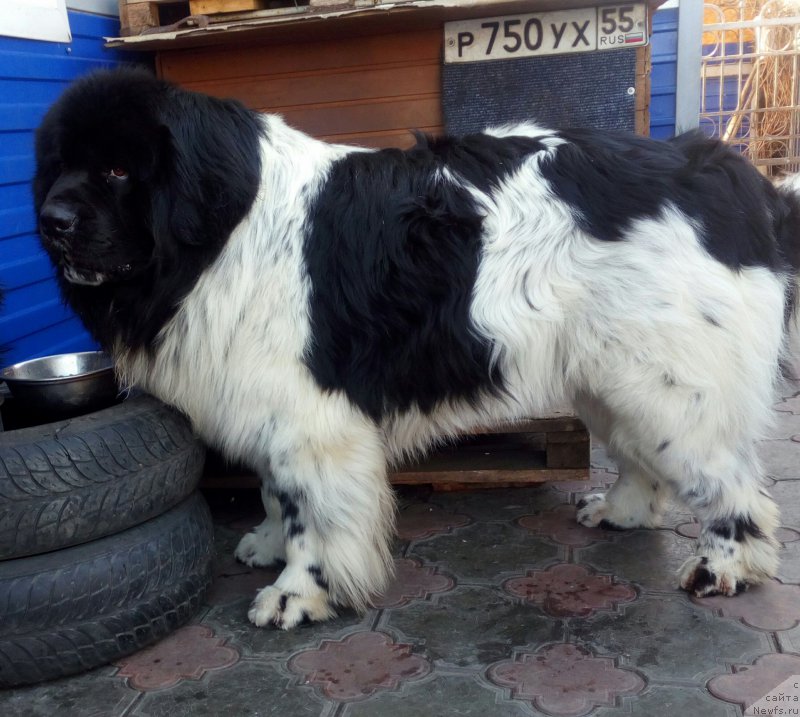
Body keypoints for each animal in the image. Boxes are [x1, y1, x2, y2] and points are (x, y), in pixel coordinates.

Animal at [34, 68, 796, 628]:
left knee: (730, 480)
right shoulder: (271, 401)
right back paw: (624, 509)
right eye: (59, 165)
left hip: (669, 379)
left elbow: (310, 509)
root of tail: (735, 177)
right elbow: (277, 491)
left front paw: (298, 591)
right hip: (610, 372)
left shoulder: (311, 416)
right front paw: (270, 544)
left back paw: (724, 565)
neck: (223, 230)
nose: (51, 220)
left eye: (119, 171)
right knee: (644, 454)